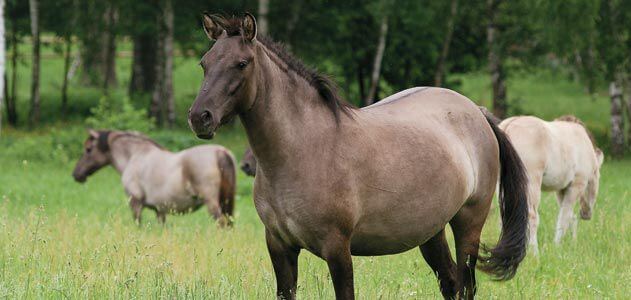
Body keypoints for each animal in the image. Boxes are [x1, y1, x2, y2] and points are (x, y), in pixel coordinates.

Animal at [69, 129, 237, 225]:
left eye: (88, 149)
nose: (76, 174)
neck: (135, 155)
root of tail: (220, 152)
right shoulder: (159, 210)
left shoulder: (135, 202)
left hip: (212, 204)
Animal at [190, 14, 532, 300]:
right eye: (205, 63)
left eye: (242, 63)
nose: (199, 118)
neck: (301, 150)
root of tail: (476, 111)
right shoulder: (279, 246)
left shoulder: (337, 249)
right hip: (431, 231)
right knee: (450, 284)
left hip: (468, 225)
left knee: (466, 285)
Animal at [502, 115, 604, 253]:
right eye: (597, 177)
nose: (586, 214)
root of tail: (509, 125)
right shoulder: (576, 185)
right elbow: (564, 218)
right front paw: (557, 246)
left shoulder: (562, 189)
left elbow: (570, 216)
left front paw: (572, 243)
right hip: (531, 183)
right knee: (531, 215)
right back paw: (534, 252)